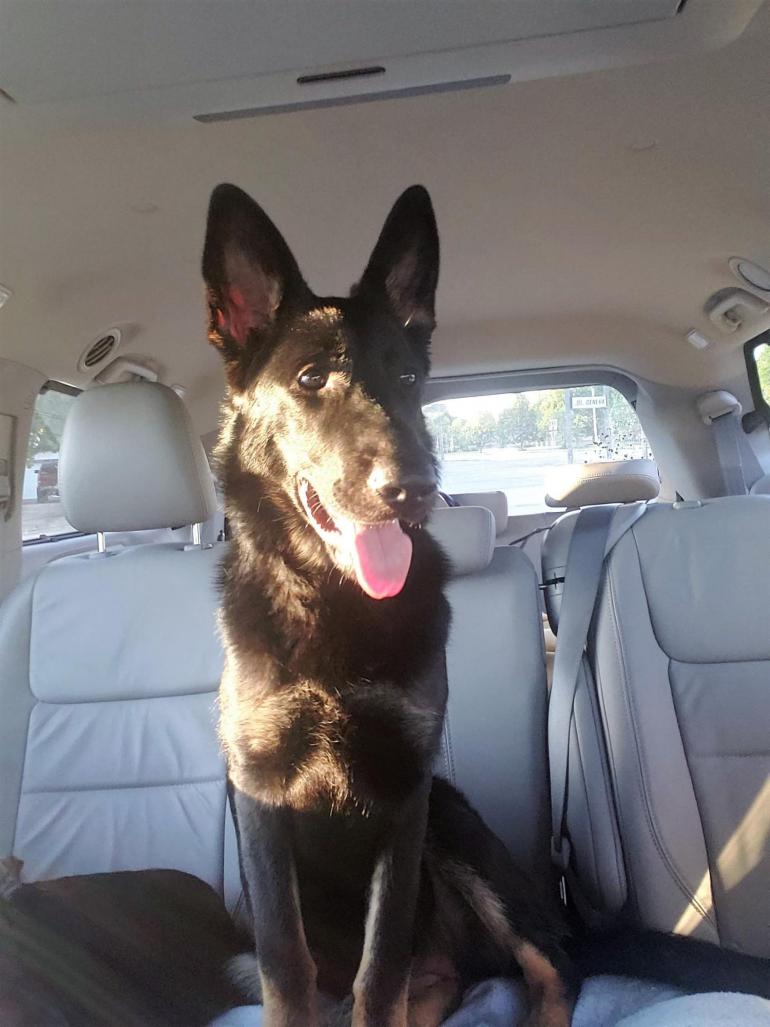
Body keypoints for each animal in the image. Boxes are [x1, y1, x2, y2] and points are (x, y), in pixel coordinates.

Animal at [200, 186, 770, 1027]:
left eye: (408, 377)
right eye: (310, 378)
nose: (415, 487)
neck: (336, 606)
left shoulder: (407, 799)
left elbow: (380, 965)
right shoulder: (263, 803)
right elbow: (287, 965)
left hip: (457, 826)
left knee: (551, 963)